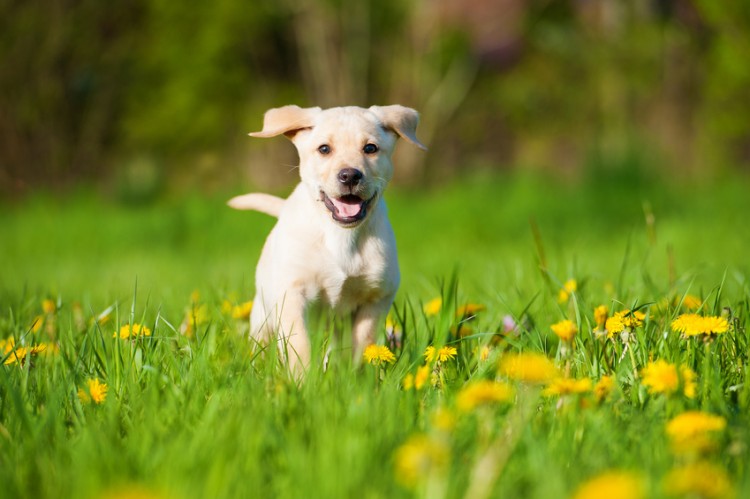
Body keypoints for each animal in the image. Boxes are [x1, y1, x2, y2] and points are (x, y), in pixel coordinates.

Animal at [229, 107, 426, 376]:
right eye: (324, 149)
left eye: (370, 148)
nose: (350, 175)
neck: (340, 235)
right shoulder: (292, 295)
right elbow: (299, 345)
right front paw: (301, 380)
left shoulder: (375, 298)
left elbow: (362, 345)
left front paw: (358, 380)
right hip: (263, 314)